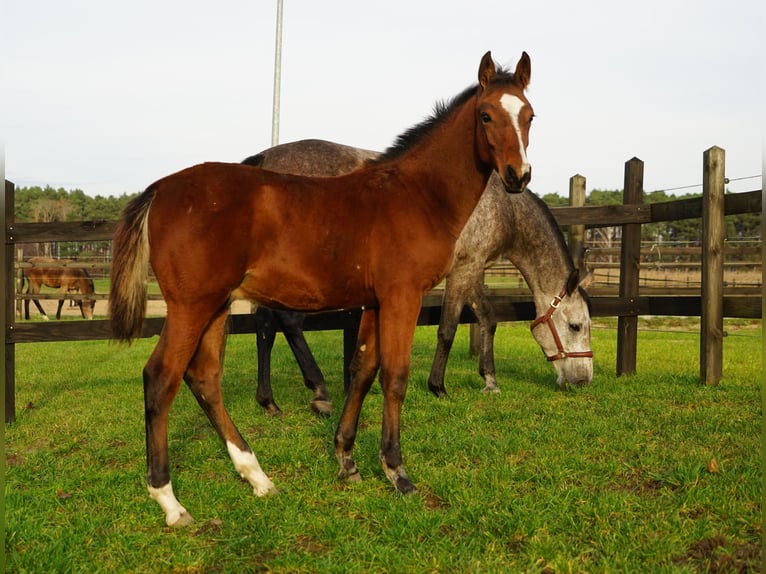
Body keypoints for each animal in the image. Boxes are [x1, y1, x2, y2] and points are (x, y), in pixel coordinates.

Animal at [110, 51, 534, 526]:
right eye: (485, 115)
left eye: (530, 116)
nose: (518, 176)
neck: (416, 195)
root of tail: (160, 188)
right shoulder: (402, 296)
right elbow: (395, 376)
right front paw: (397, 471)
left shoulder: (374, 302)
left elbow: (363, 370)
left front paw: (346, 459)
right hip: (190, 305)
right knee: (161, 377)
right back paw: (170, 500)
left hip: (216, 306)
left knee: (203, 378)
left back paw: (256, 476)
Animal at [243, 141, 592, 417]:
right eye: (576, 326)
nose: (584, 380)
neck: (503, 207)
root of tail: (264, 159)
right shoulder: (463, 270)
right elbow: (448, 329)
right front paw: (438, 387)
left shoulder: (471, 267)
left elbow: (487, 318)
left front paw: (489, 380)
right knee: (289, 323)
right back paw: (319, 391)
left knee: (265, 325)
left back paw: (269, 402)